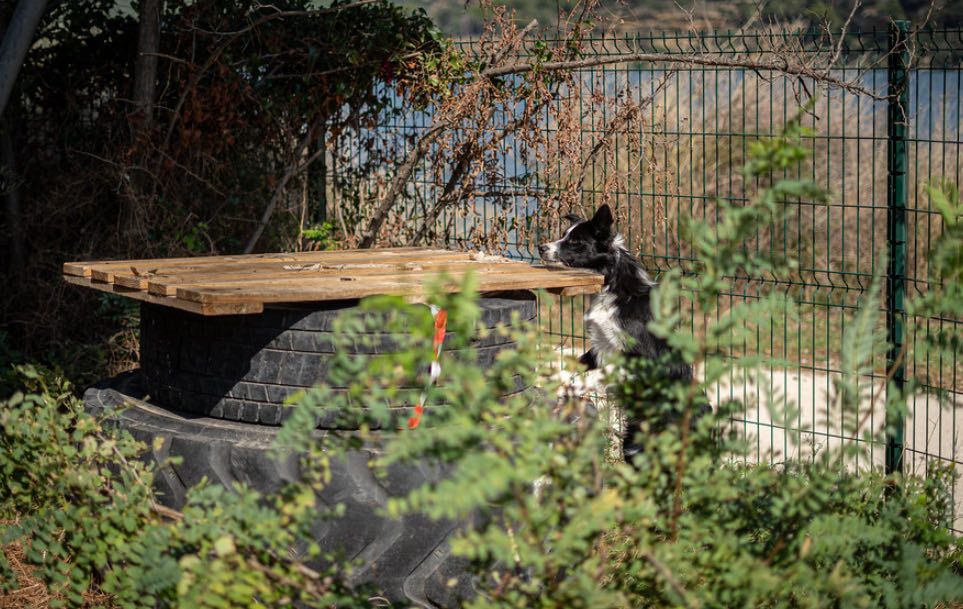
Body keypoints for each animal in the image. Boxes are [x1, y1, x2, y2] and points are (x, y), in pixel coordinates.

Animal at [540, 202, 712, 458]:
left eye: (575, 242)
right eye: (563, 234)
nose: (541, 247)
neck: (613, 286)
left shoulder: (640, 359)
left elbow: (598, 373)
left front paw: (577, 385)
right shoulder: (598, 347)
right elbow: (575, 365)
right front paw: (557, 378)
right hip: (634, 443)